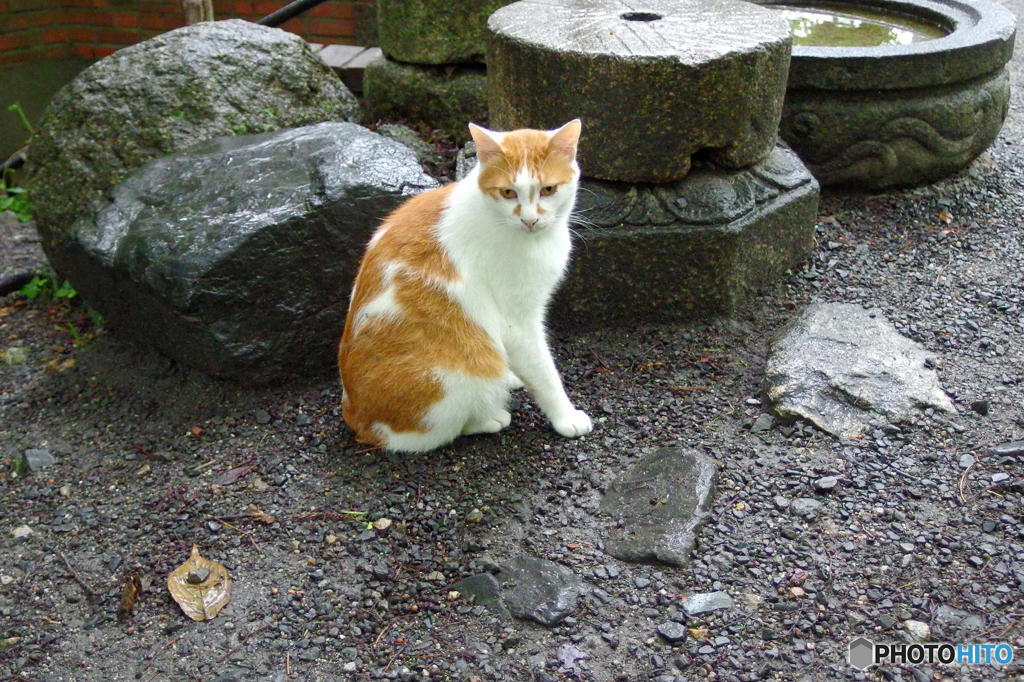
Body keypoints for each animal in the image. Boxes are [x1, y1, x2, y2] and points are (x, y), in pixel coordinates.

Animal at [337, 119, 593, 450]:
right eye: (508, 192)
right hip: (460, 375)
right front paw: (566, 416)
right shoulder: (518, 322)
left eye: (548, 190)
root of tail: (355, 414)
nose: (529, 220)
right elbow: (545, 373)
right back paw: (490, 417)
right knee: (437, 432)